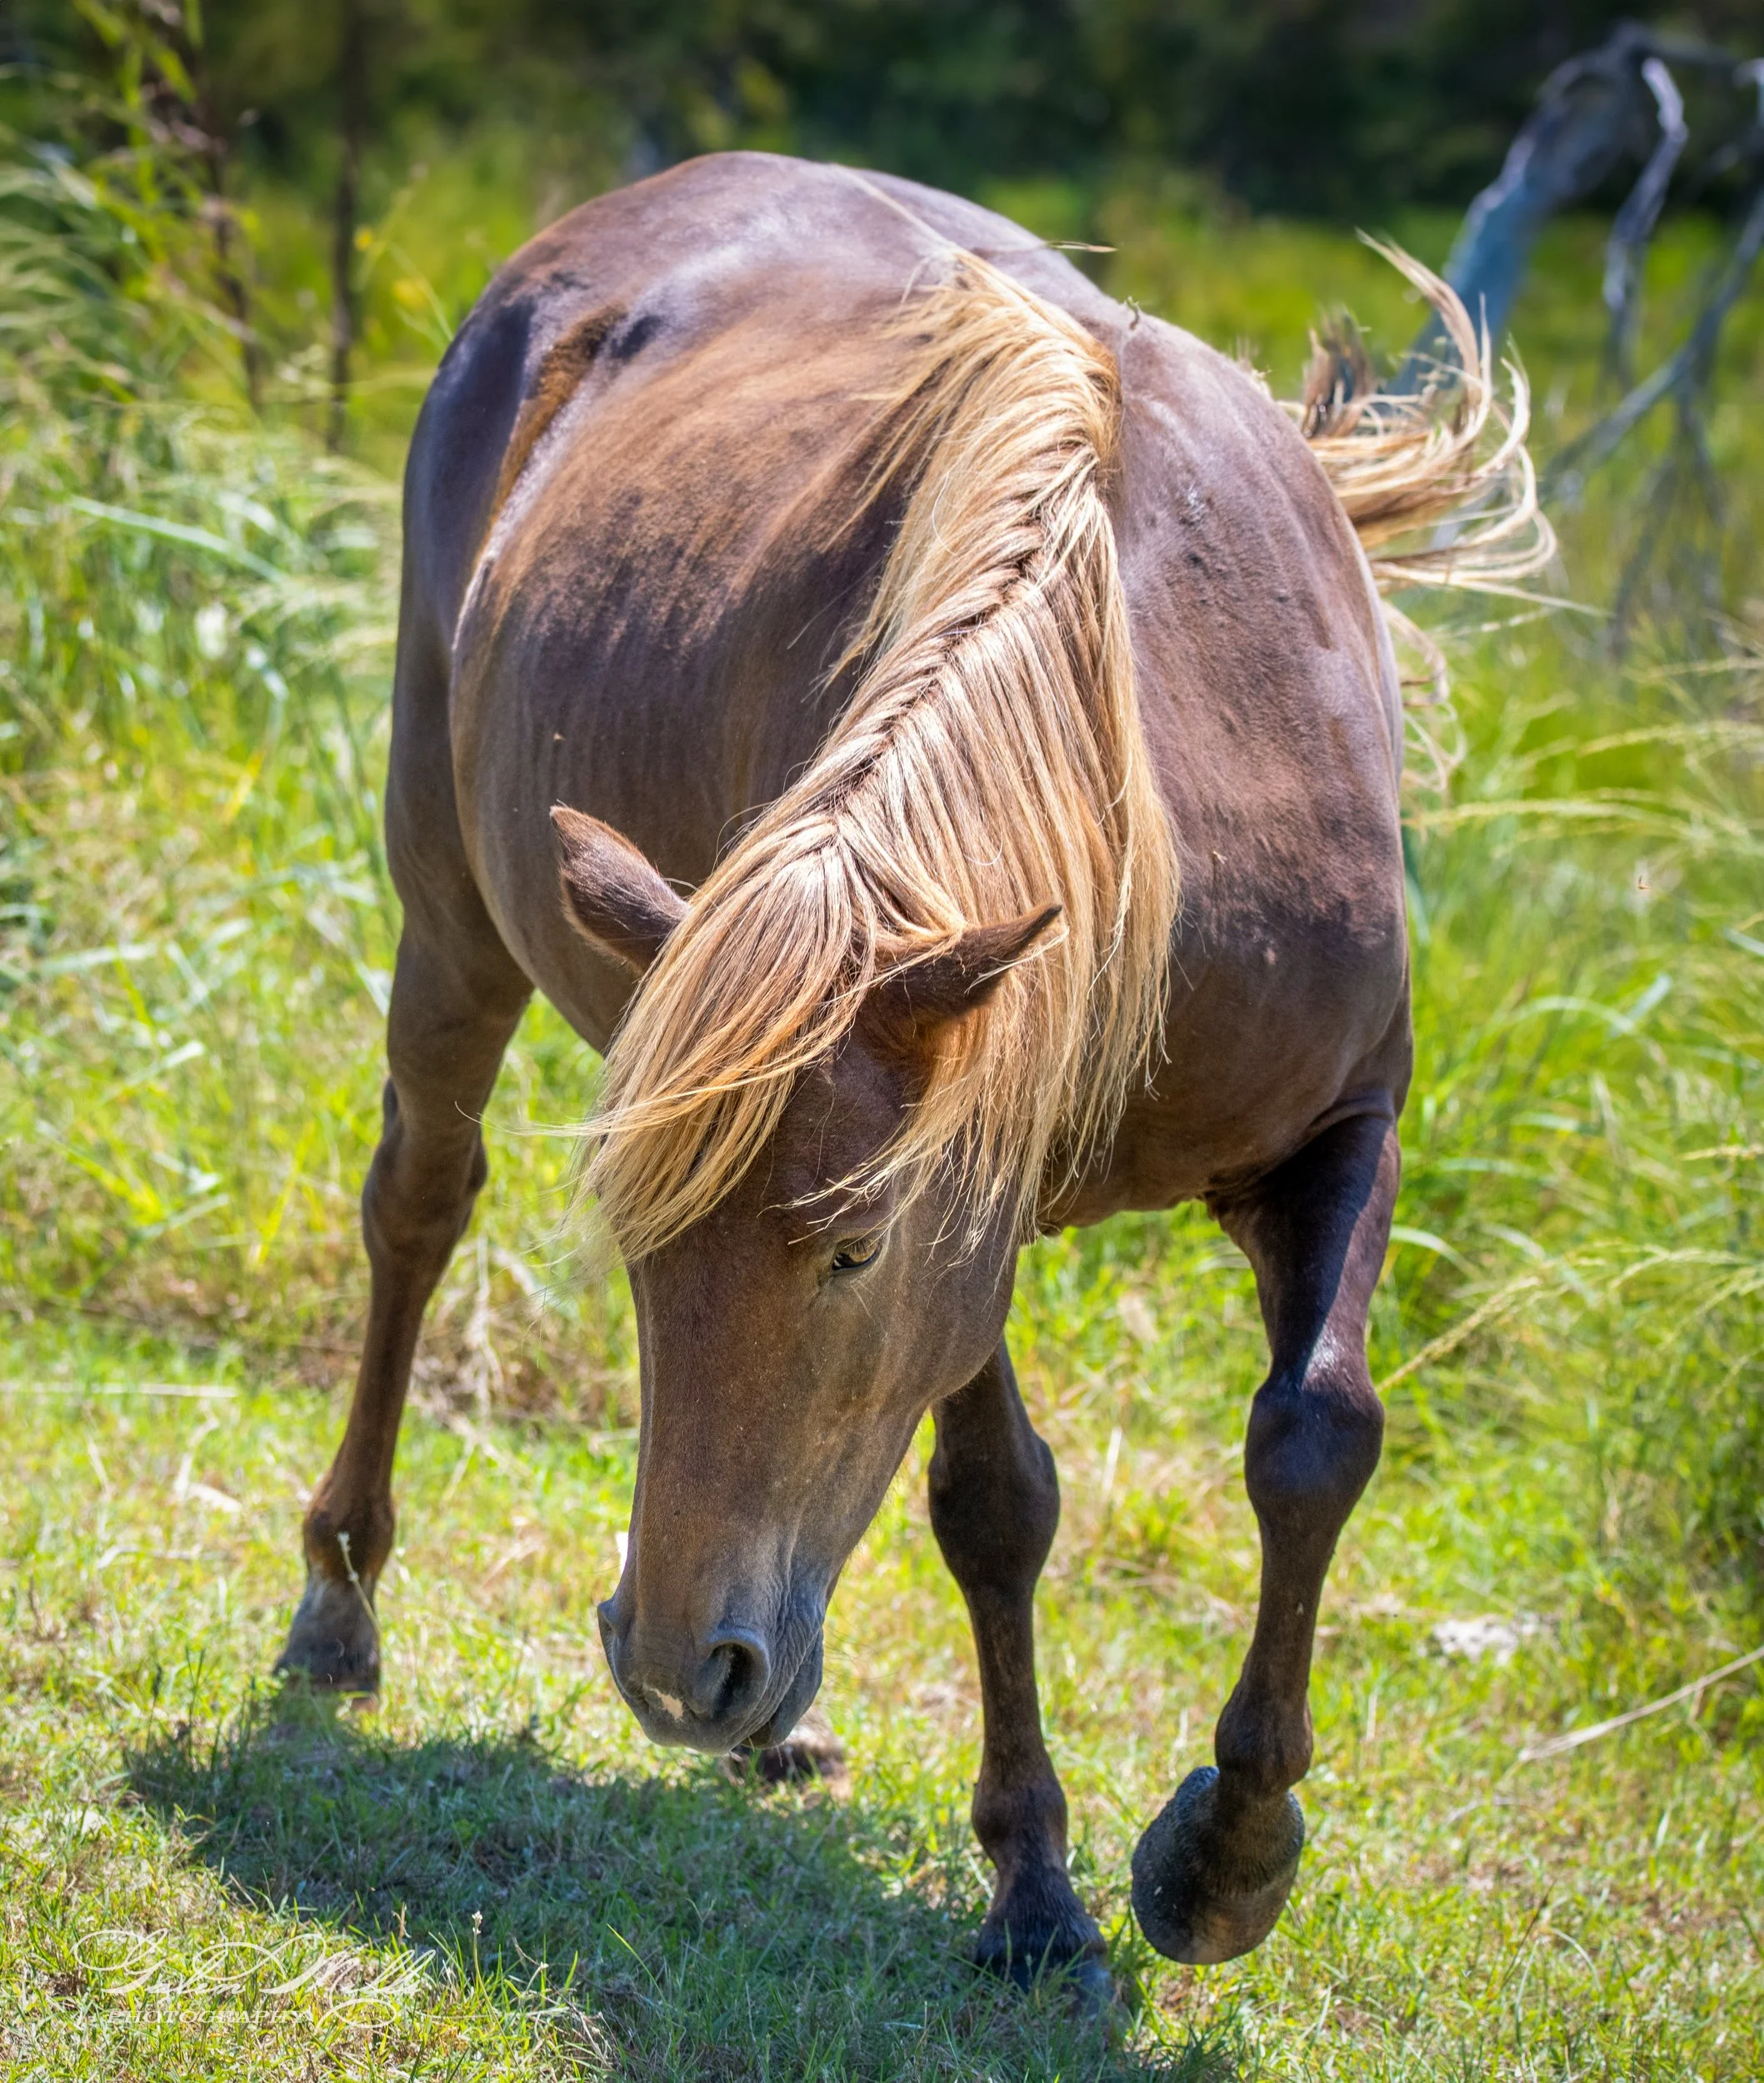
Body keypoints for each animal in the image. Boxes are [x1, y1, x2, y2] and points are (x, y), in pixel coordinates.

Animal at [274, 151, 1541, 1990]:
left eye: (851, 1252)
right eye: (639, 1263)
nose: (675, 1668)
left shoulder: (1332, 1121)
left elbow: (1316, 1430)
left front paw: (1226, 1856)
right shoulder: (981, 1189)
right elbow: (994, 1502)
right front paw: (1037, 1881)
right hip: (448, 908)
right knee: (418, 1206)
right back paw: (340, 1604)